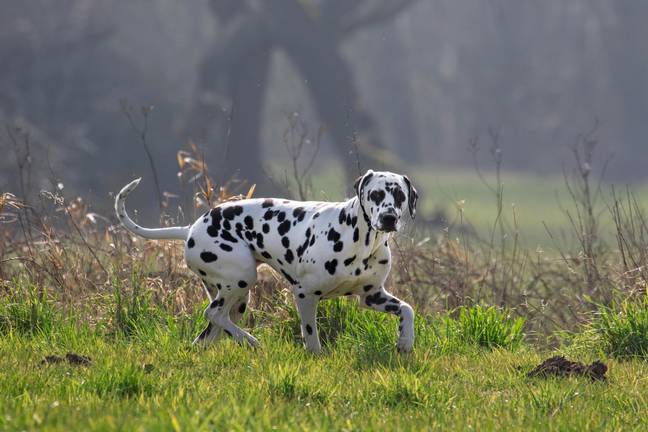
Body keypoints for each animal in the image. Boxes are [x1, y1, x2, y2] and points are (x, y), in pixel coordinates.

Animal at [115, 170, 420, 352]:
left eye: (400, 195)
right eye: (376, 194)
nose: (389, 218)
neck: (360, 240)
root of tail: (191, 227)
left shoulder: (372, 296)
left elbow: (407, 309)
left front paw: (405, 341)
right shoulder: (305, 294)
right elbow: (311, 337)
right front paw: (316, 355)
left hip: (237, 300)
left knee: (211, 331)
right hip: (240, 280)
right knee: (213, 314)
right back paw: (251, 341)